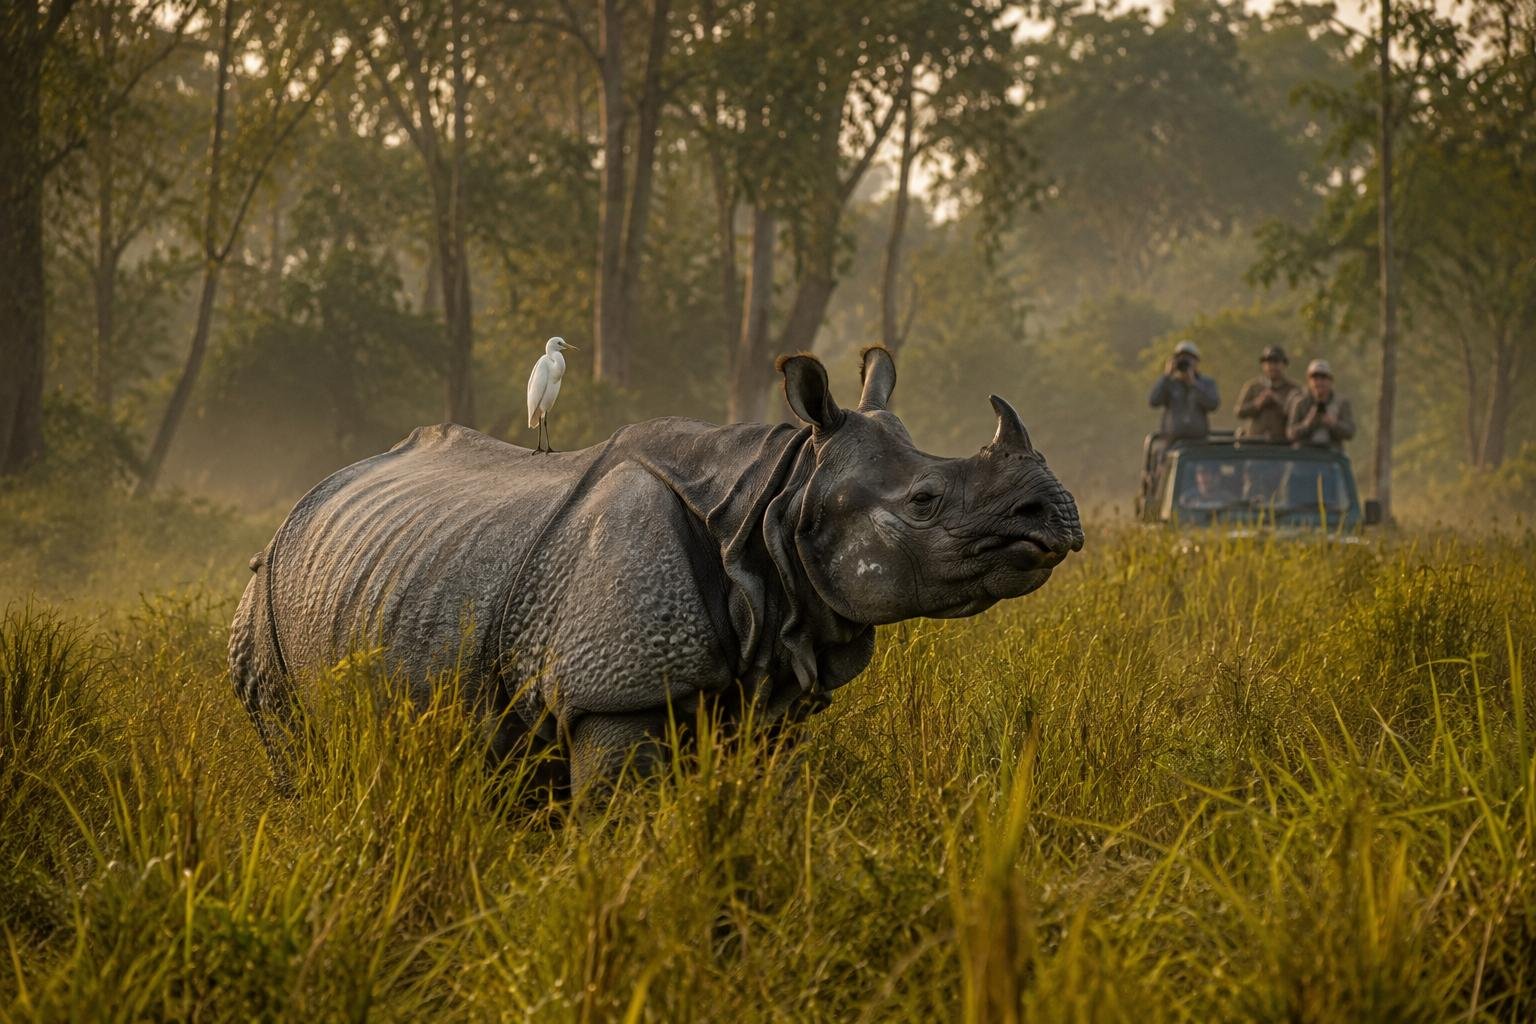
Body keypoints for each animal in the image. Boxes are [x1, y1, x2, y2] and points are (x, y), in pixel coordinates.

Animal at [229, 347, 1083, 792]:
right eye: (926, 501)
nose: (1058, 515)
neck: (773, 507)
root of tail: (298, 506)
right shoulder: (616, 687)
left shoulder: (767, 679)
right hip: (265, 597)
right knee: (296, 752)